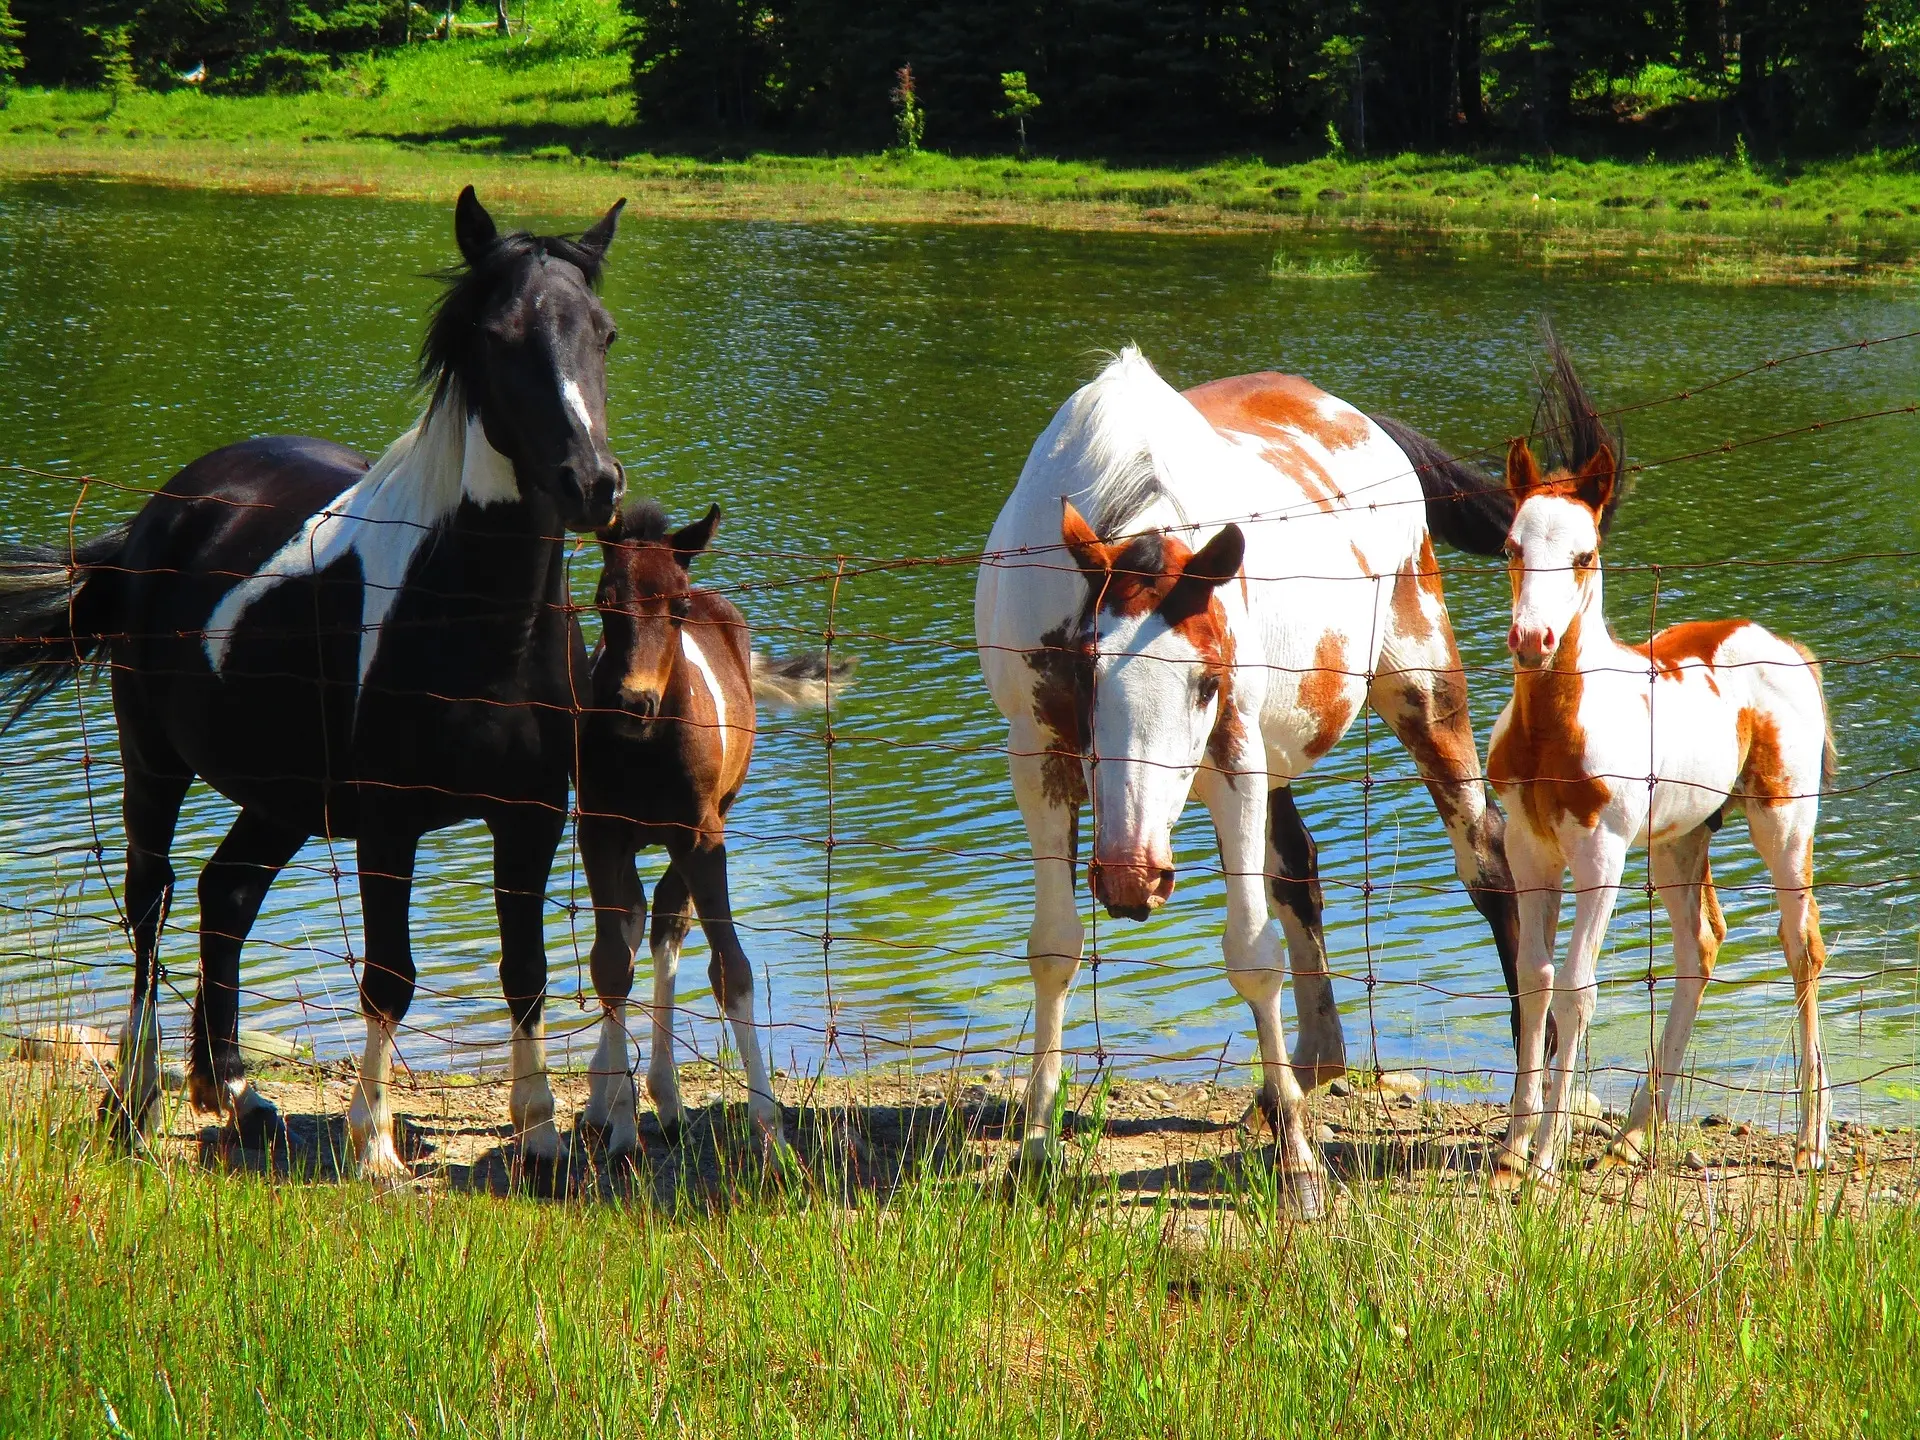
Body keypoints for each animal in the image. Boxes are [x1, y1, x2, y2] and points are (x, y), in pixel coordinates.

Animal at [0, 189, 622, 1182]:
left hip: (284, 795)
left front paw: (541, 1136)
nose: (591, 483)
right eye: (499, 336)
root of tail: (158, 515)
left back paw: (236, 1092)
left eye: (603, 333)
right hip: (155, 763)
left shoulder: (531, 815)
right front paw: (375, 1146)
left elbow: (524, 973)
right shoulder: (390, 822)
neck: (474, 618)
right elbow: (390, 976)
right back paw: (132, 1104)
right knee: (152, 903)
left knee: (225, 895)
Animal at [975, 347, 1528, 1205]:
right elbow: (1055, 948)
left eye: (1206, 682)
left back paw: (1522, 1122)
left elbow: (1251, 951)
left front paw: (1299, 1166)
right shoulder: (1038, 754)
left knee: (1489, 866)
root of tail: (1357, 418)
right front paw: (1034, 1148)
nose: (1133, 879)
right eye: (1088, 674)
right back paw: (1300, 1075)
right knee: (1299, 871)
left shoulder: (1234, 754)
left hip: (1423, 687)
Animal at [1482, 437, 1827, 1182]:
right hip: (1679, 838)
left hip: (1783, 820)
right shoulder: (1528, 848)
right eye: (1511, 546)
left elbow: (1577, 989)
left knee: (1801, 946)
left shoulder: (1601, 854)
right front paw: (1514, 1150)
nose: (1532, 638)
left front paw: (1545, 1158)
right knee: (1700, 946)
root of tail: (1786, 647)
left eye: (1584, 554)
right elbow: (1532, 980)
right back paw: (1635, 1132)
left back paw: (1811, 1141)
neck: (1553, 728)